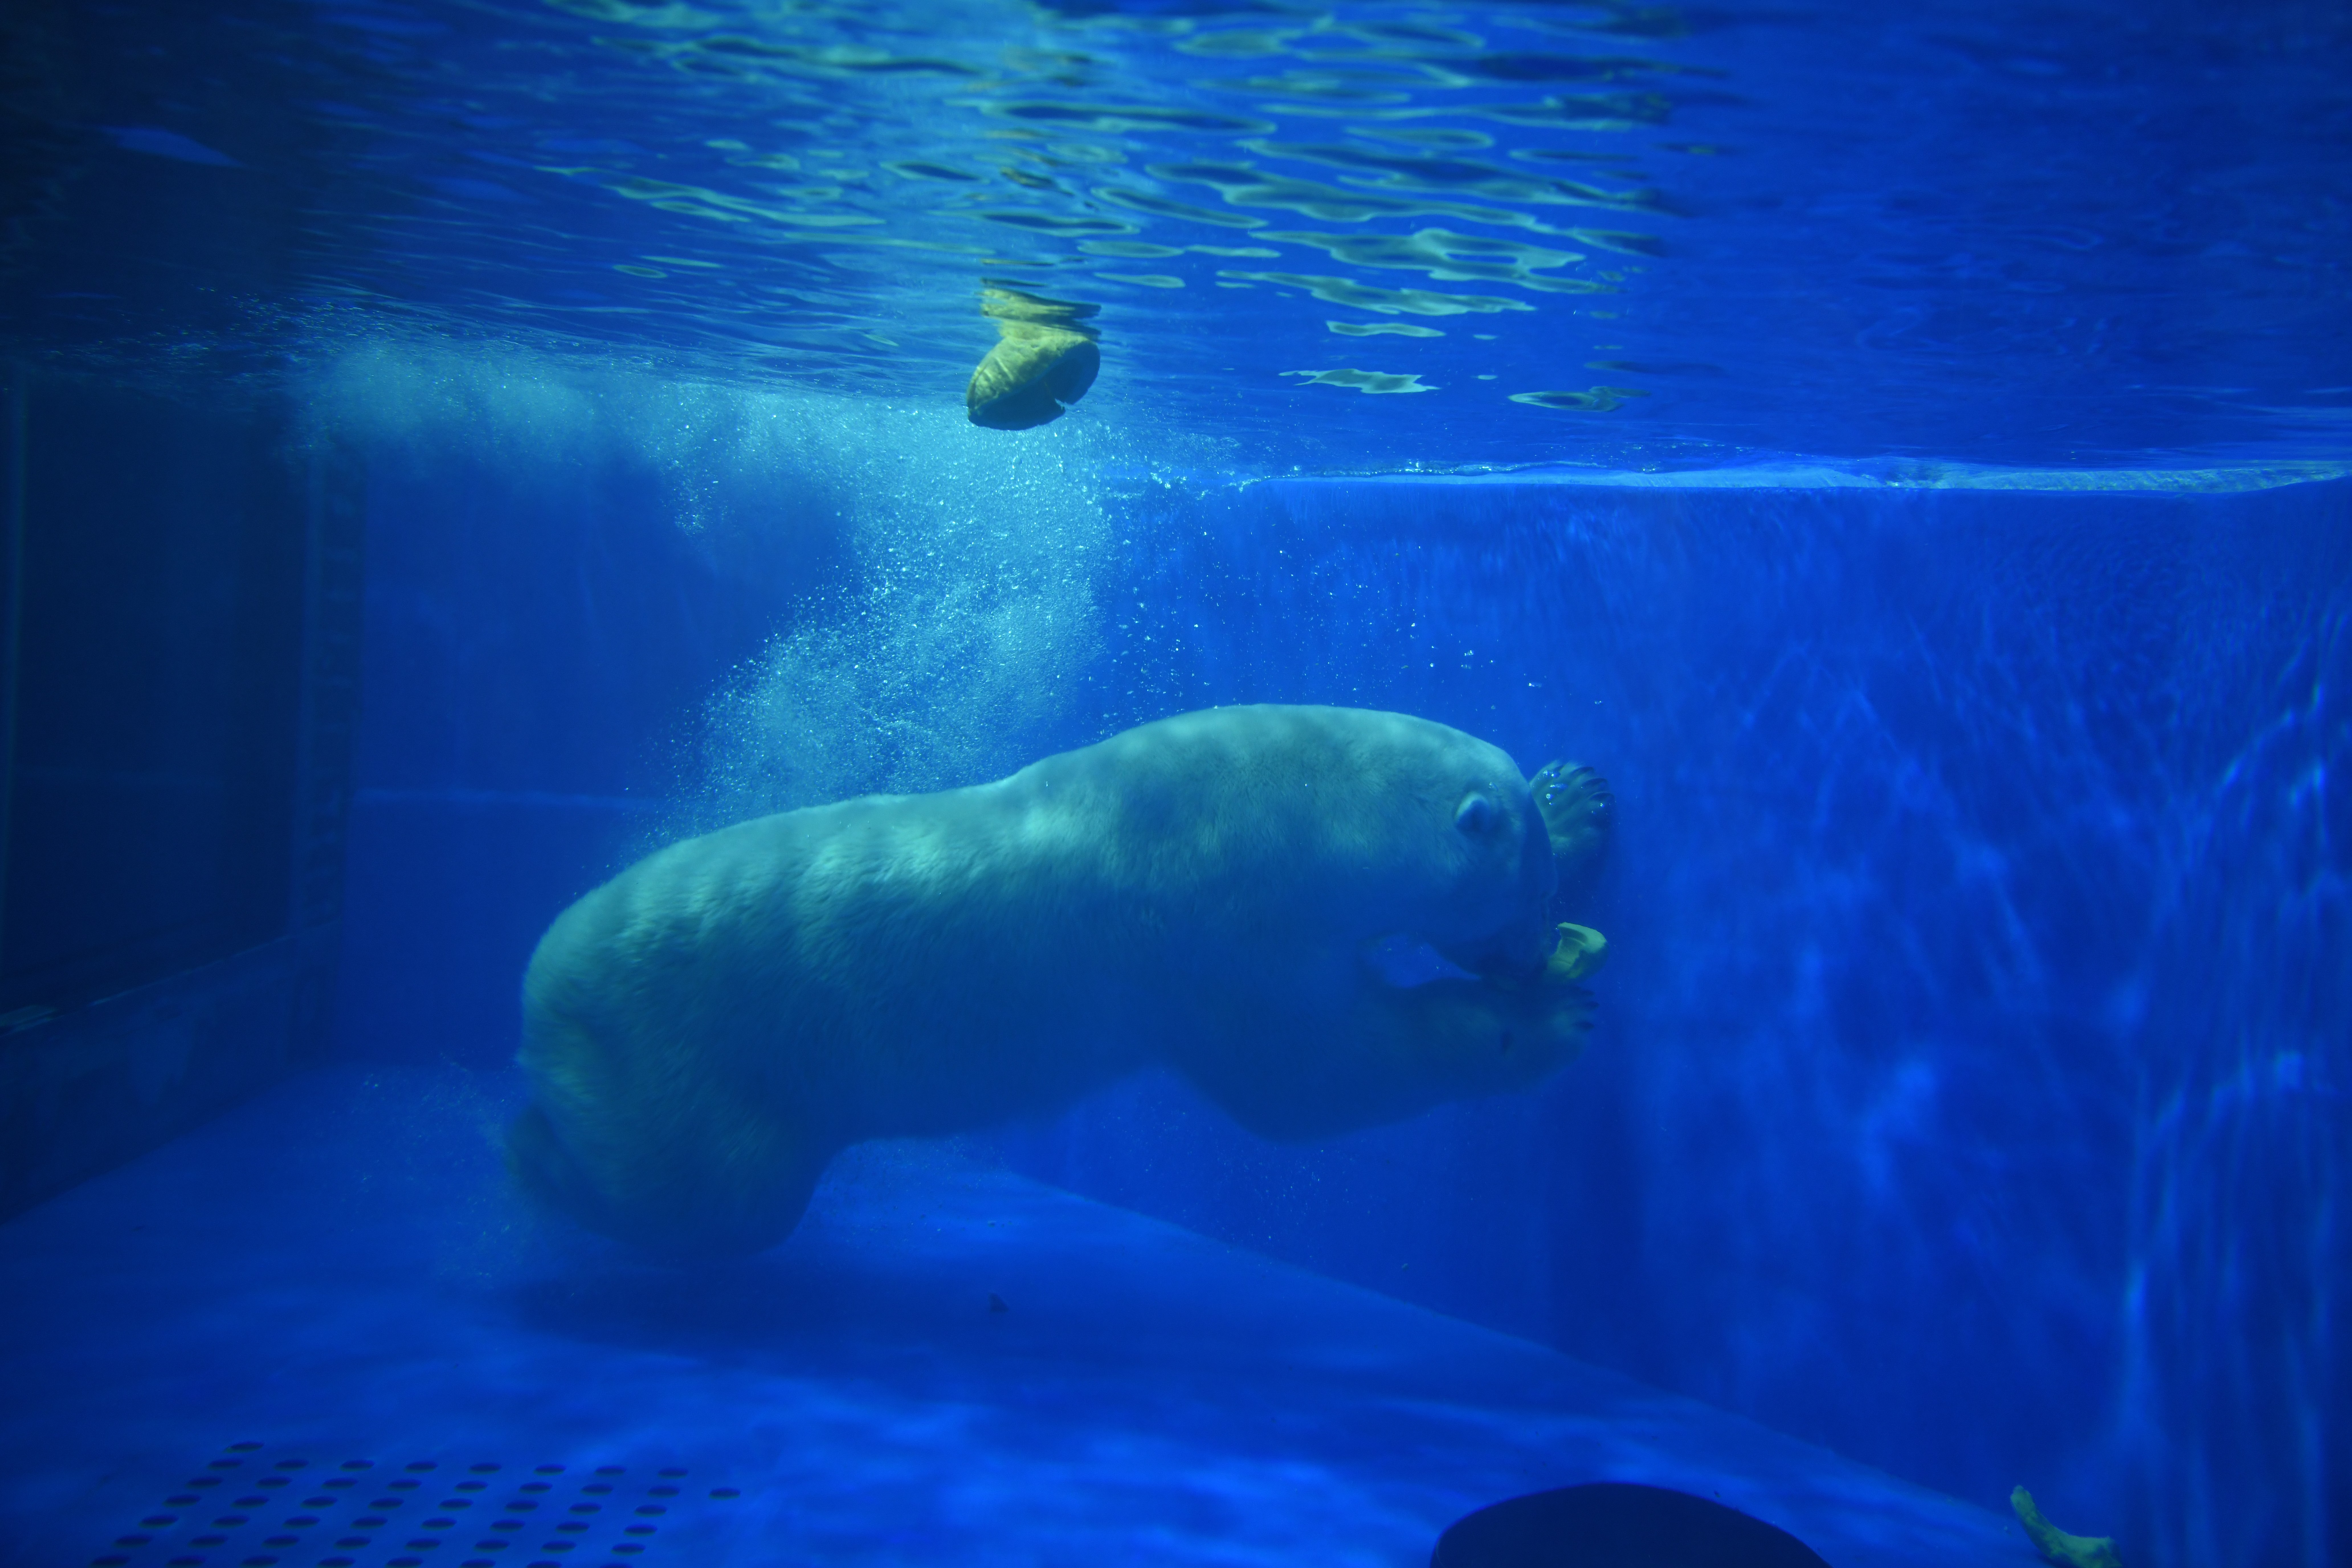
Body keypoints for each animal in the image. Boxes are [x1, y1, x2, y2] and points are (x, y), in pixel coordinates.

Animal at [508, 704, 1614, 1256]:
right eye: (1525, 894)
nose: (1533, 950)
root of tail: (542, 988)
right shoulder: (1212, 939)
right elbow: (1310, 1079)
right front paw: (1546, 1022)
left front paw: (1579, 799)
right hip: (688, 1067)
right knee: (705, 1192)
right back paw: (534, 1157)